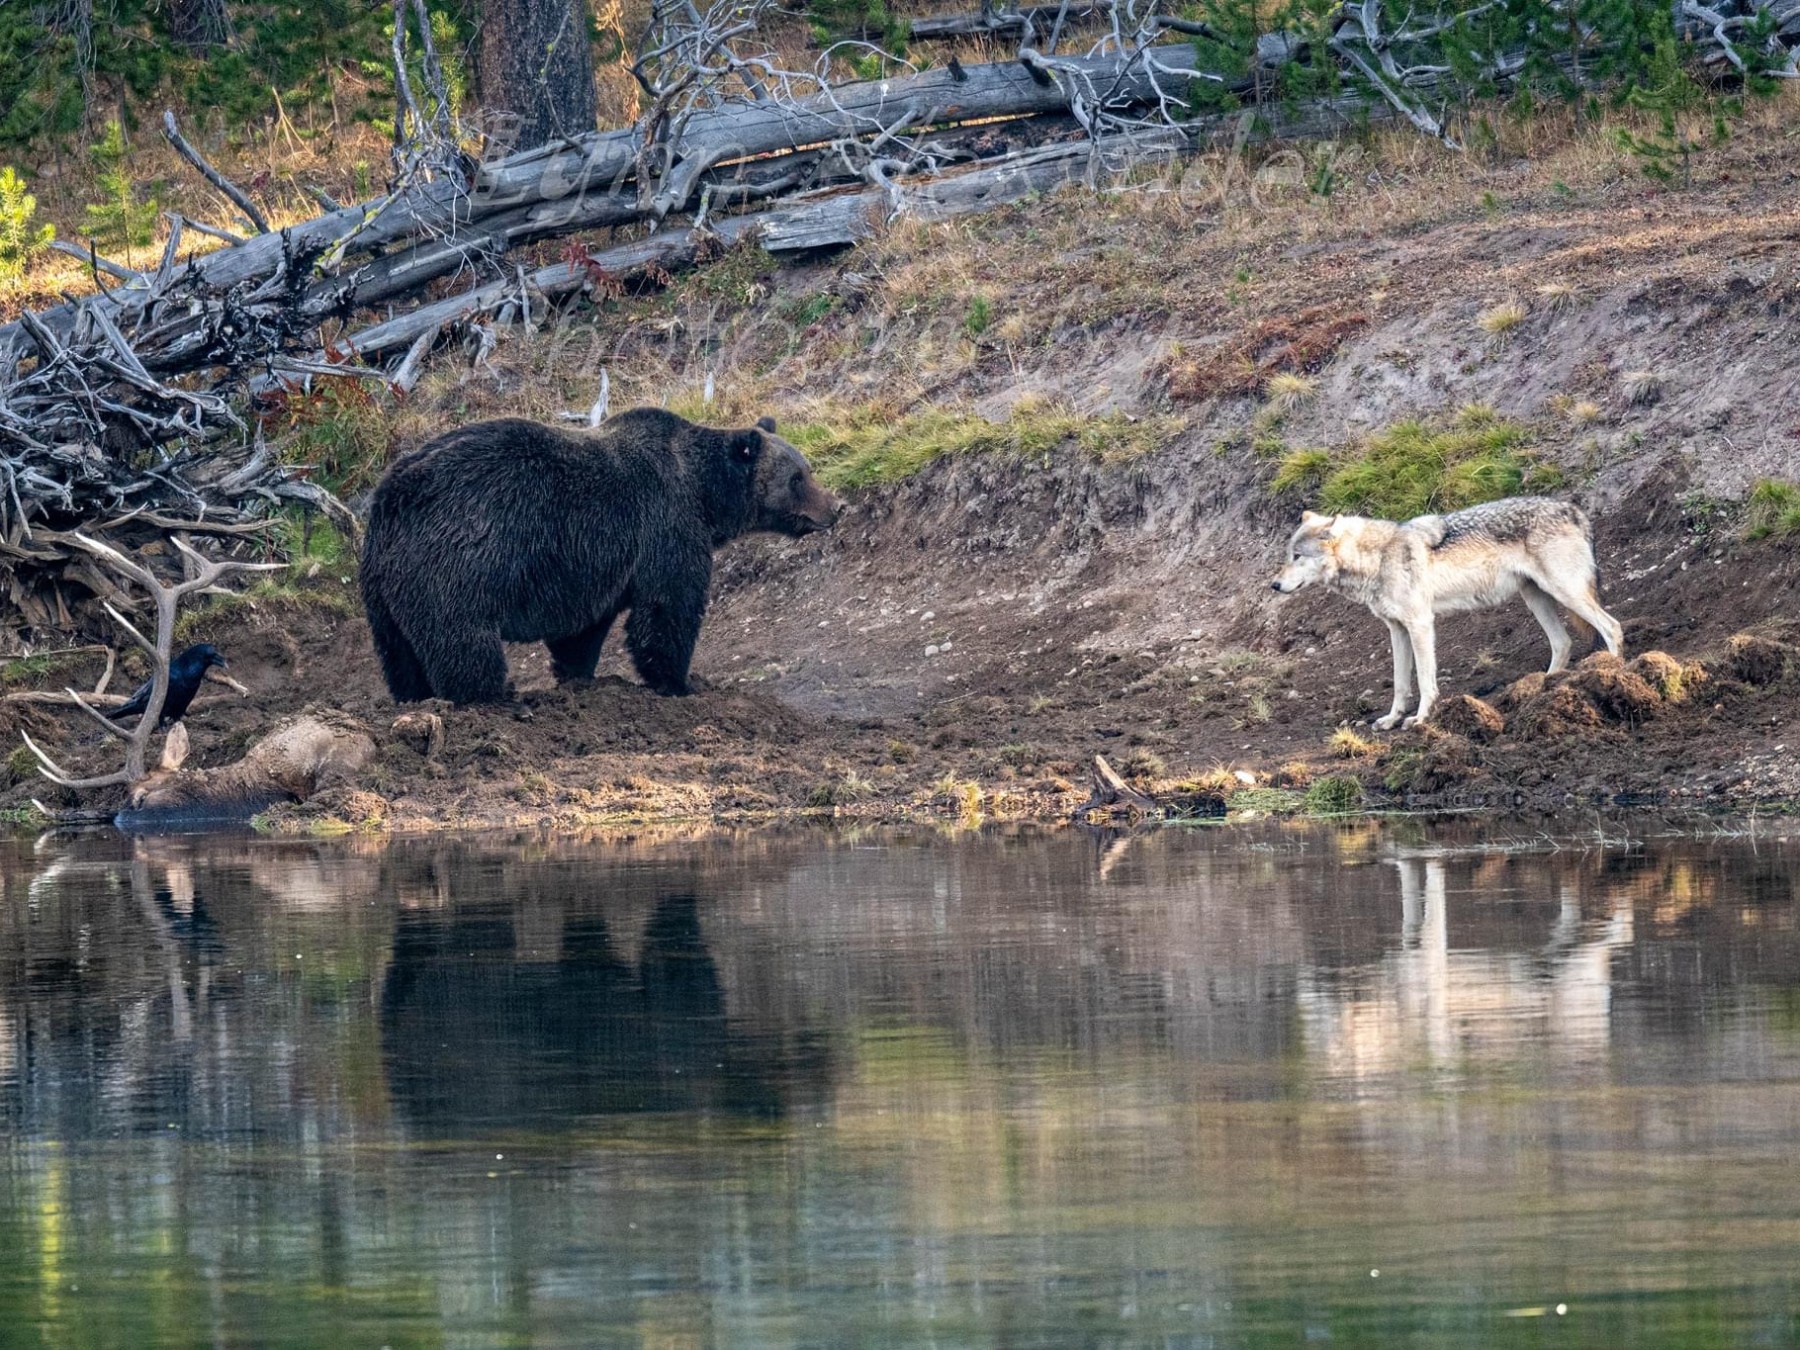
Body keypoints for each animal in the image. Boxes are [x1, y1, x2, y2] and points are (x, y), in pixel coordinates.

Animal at [358, 408, 842, 704]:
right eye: (799, 477)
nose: (836, 507)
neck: (705, 496)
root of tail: (391, 495)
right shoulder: (665, 527)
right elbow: (667, 609)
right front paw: (681, 681)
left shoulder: (592, 567)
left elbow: (583, 631)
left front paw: (577, 673)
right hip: (459, 561)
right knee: (463, 640)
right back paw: (492, 694)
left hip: (385, 587)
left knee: (399, 653)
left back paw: (416, 696)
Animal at [1270, 497, 1625, 729]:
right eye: (1288, 555)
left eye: (1297, 556)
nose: (1274, 584)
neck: (1378, 558)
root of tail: (1576, 510)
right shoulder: (1397, 629)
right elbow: (1400, 683)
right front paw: (1392, 719)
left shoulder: (1420, 624)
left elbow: (1425, 680)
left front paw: (1420, 718)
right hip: (1535, 597)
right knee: (1563, 643)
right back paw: (1541, 689)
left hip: (1565, 593)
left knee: (1612, 627)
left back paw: (1614, 673)